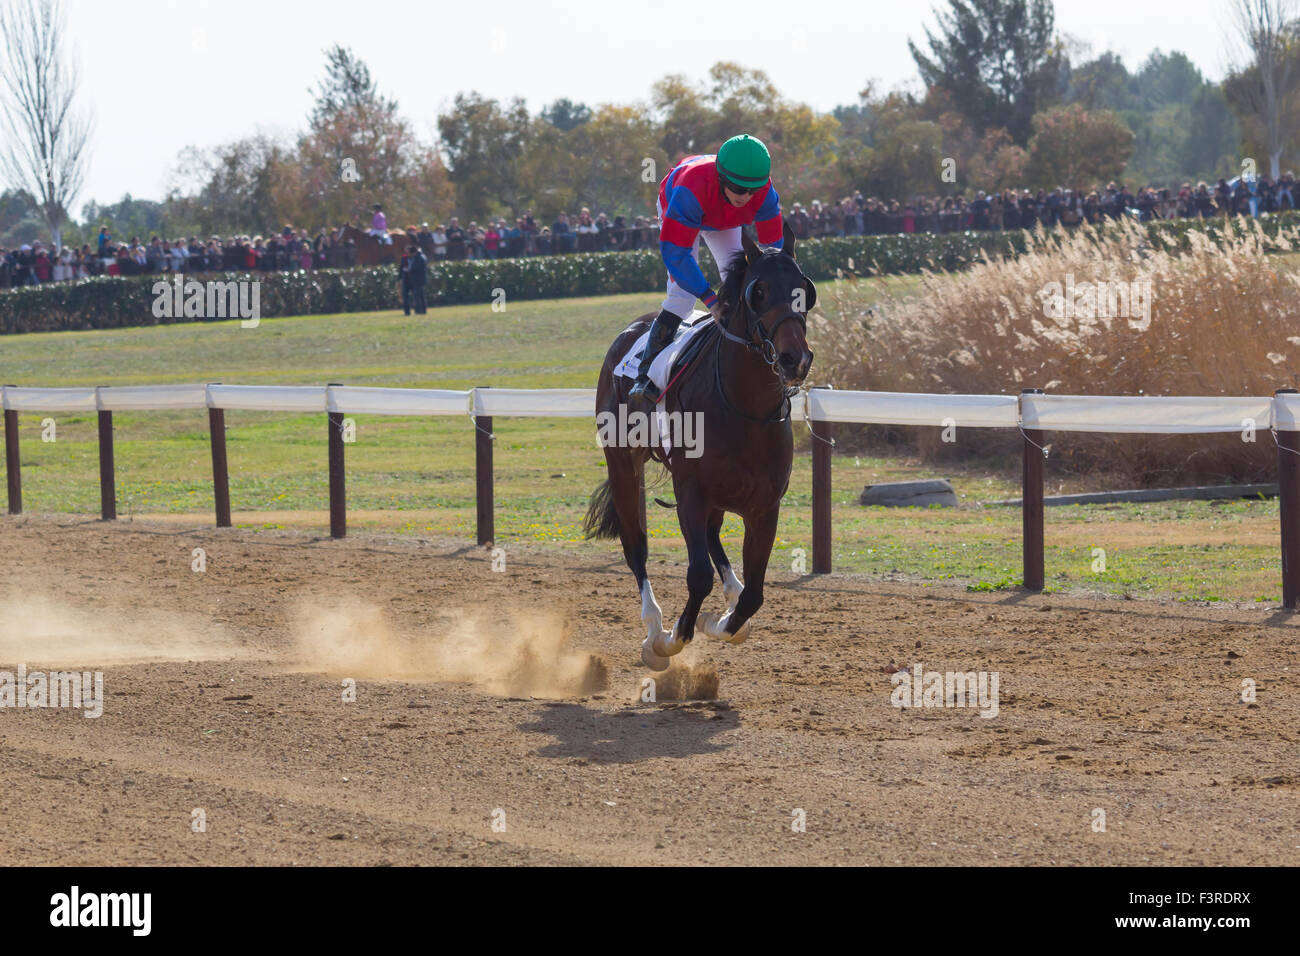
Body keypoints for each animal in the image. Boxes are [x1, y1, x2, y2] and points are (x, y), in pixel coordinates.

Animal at [583, 222, 815, 670]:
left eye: (804, 289)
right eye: (759, 291)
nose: (794, 358)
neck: (744, 408)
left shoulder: (765, 505)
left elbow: (755, 591)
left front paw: (724, 621)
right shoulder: (690, 490)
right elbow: (697, 575)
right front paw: (670, 639)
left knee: (712, 538)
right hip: (622, 464)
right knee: (636, 546)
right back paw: (654, 626)